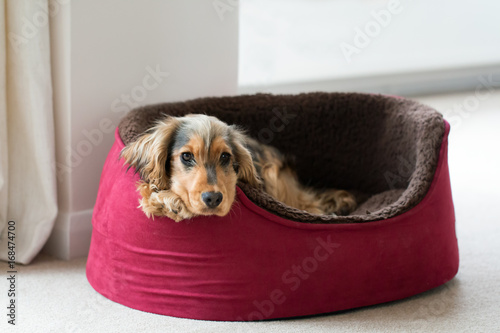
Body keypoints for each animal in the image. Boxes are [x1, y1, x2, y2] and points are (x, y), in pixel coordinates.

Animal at [120, 114, 356, 220]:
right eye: (186, 156)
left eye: (225, 157)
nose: (213, 199)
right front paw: (163, 200)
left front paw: (169, 202)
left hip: (275, 175)